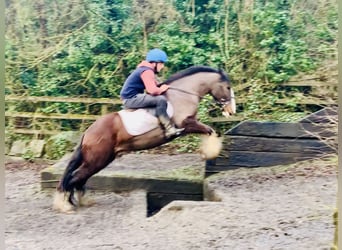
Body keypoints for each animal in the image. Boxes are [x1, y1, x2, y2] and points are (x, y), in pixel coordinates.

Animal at [52, 65, 235, 213]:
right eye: (227, 87)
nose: (231, 111)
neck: (181, 95)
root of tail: (88, 133)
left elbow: (210, 131)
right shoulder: (186, 124)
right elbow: (210, 131)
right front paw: (211, 152)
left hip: (101, 159)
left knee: (79, 178)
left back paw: (81, 201)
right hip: (97, 159)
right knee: (75, 177)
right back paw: (65, 205)